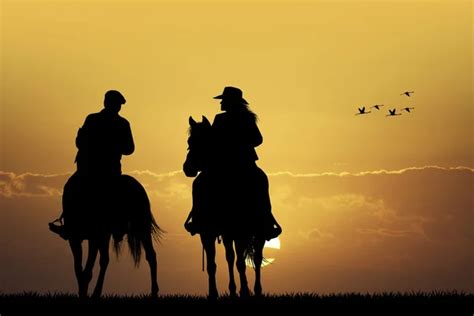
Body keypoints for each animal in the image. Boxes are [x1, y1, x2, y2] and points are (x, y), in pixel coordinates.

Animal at [182, 116, 282, 298]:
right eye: (189, 141)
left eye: (204, 140)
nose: (187, 168)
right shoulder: (207, 232)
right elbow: (213, 264)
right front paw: (213, 293)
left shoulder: (238, 230)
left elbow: (241, 263)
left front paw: (244, 291)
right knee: (231, 257)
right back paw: (234, 290)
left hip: (257, 231)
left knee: (256, 258)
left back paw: (256, 290)